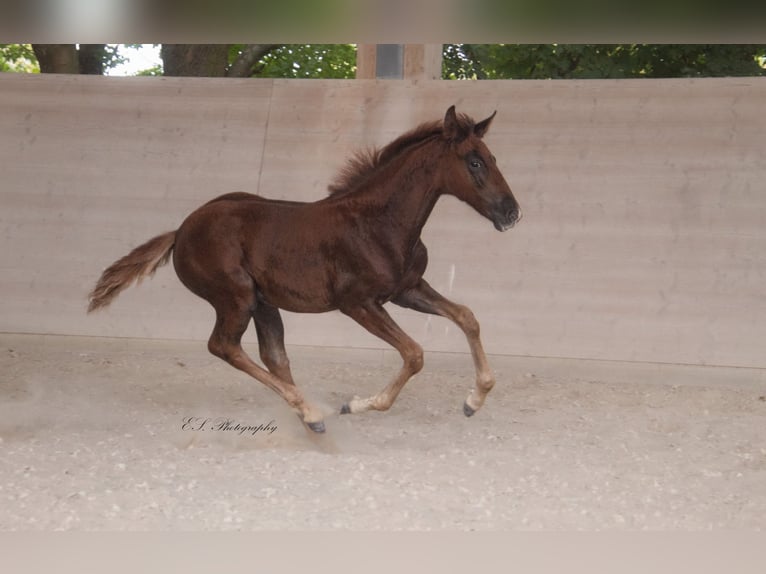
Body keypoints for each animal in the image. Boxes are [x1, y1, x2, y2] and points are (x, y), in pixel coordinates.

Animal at [88, 106, 520, 434]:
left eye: (494, 159)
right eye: (475, 161)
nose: (511, 212)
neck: (380, 223)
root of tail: (180, 231)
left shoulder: (407, 290)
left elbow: (466, 317)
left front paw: (475, 399)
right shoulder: (359, 303)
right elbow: (414, 353)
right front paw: (358, 404)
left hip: (263, 302)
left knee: (273, 355)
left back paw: (308, 415)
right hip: (236, 297)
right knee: (224, 346)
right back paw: (310, 410)